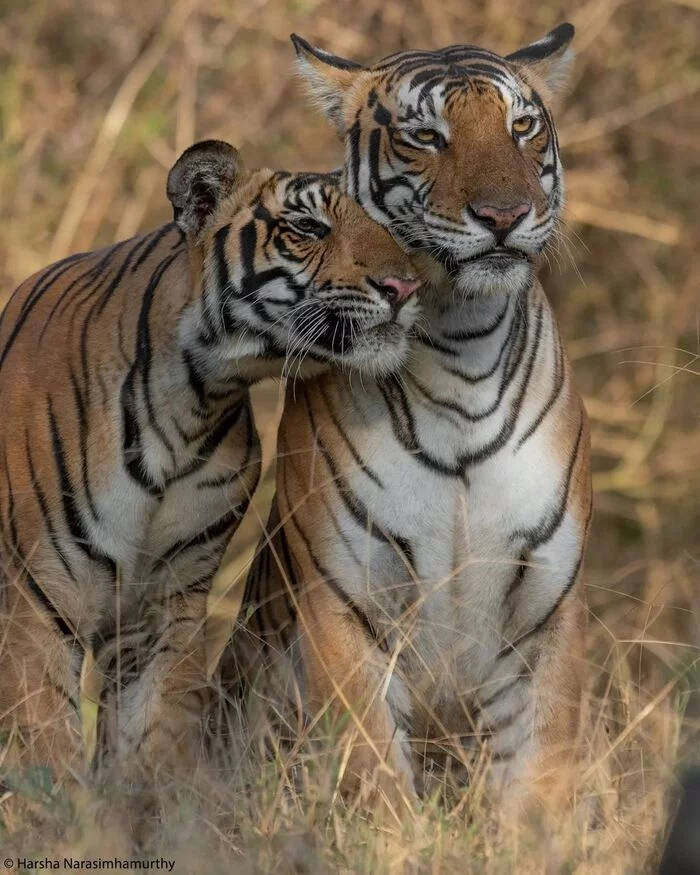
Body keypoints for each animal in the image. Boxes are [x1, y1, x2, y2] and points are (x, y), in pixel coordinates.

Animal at [0, 140, 418, 784]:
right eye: (308, 228)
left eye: (389, 226)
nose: (406, 286)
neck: (192, 399)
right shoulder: (39, 602)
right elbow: (47, 754)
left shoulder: (170, 601)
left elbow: (153, 742)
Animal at [219, 24, 592, 820]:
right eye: (426, 136)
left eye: (521, 127)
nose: (505, 215)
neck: (462, 342)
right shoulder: (345, 594)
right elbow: (372, 764)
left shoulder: (547, 604)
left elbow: (539, 770)